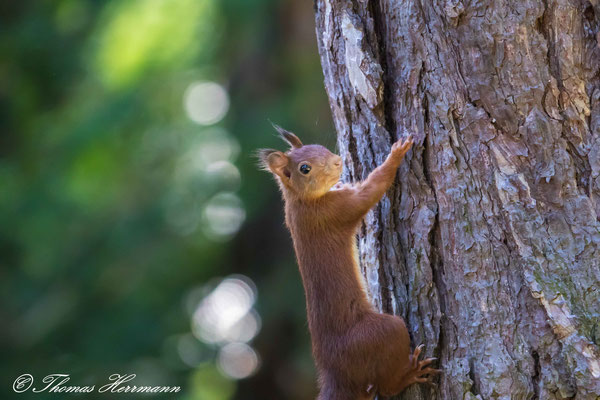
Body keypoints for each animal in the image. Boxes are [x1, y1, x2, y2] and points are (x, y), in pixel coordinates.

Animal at [258, 124, 440, 396]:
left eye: (317, 147)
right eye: (305, 168)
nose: (338, 161)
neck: (301, 201)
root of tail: (336, 374)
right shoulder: (336, 211)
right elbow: (371, 190)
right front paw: (396, 155)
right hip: (378, 334)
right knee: (387, 385)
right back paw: (411, 374)